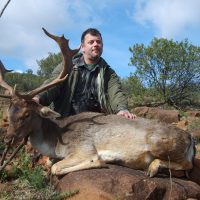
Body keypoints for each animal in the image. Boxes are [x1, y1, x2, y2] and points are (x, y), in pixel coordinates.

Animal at [0, 27, 195, 177]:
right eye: (8, 112)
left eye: (27, 114)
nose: (8, 138)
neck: (55, 140)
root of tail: (191, 139)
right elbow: (50, 164)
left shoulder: (83, 148)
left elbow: (56, 167)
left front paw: (99, 161)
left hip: (158, 142)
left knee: (187, 164)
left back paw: (152, 168)